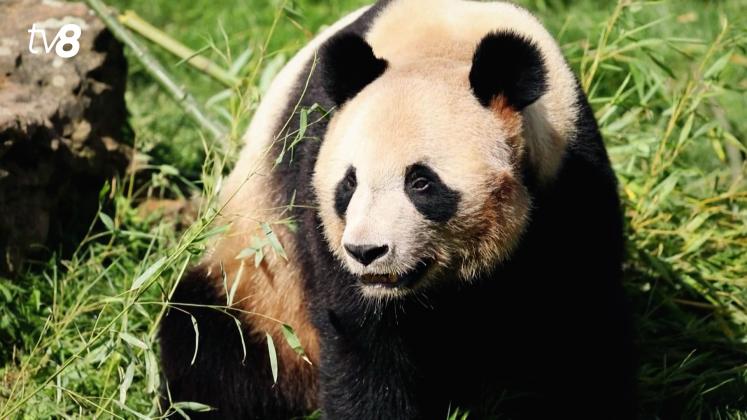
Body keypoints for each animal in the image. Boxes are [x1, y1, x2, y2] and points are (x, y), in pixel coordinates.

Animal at [159, 0, 636, 419]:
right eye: (349, 183)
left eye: (421, 183)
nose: (366, 252)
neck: (444, 47)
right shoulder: (312, 181)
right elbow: (362, 342)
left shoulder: (568, 177)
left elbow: (576, 326)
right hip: (260, 289)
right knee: (209, 343)